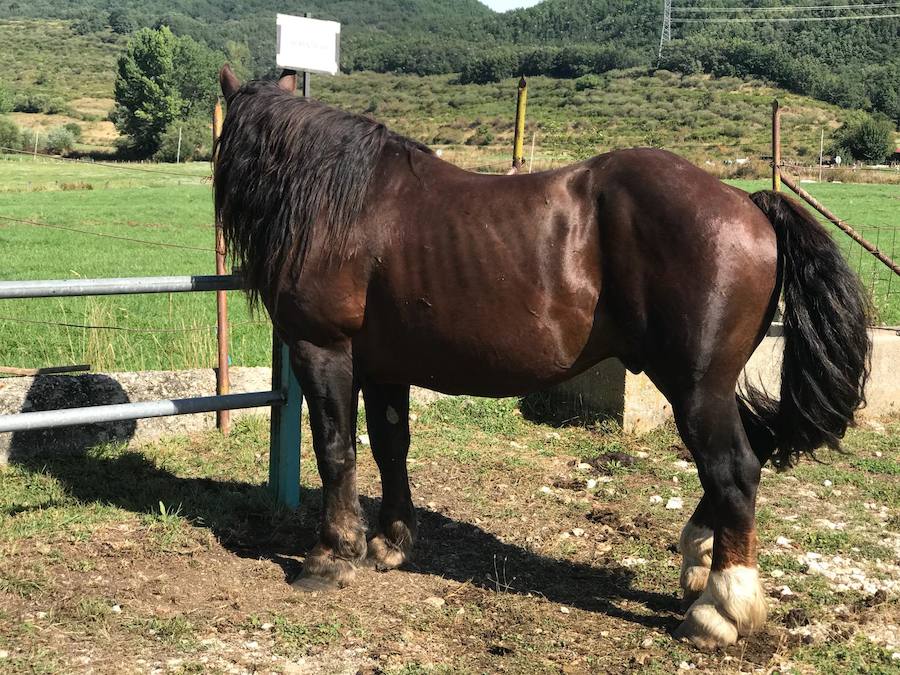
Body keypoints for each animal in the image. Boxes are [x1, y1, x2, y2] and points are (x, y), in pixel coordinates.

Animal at [214, 66, 868, 652]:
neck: (342, 204)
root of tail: (749, 204)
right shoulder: (384, 368)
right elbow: (389, 446)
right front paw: (390, 543)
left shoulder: (323, 350)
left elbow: (335, 450)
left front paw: (330, 556)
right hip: (711, 386)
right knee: (745, 456)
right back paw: (698, 559)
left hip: (695, 387)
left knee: (734, 470)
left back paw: (720, 610)